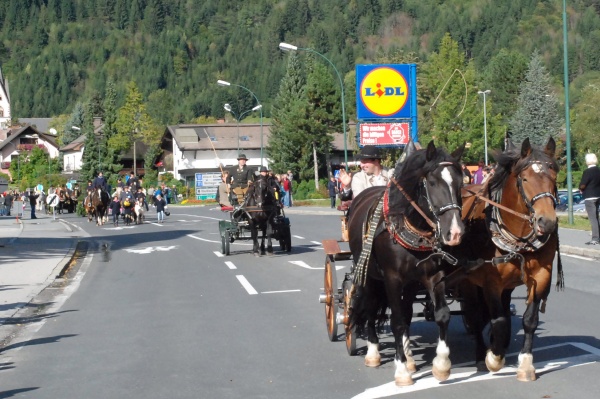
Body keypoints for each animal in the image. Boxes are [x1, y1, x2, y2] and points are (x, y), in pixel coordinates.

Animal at [454, 138, 564, 384]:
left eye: (554, 176)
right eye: (525, 179)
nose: (547, 222)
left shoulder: (541, 276)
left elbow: (529, 319)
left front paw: (526, 365)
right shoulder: (490, 282)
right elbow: (499, 321)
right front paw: (493, 358)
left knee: (502, 309)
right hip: (467, 281)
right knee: (475, 316)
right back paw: (481, 356)